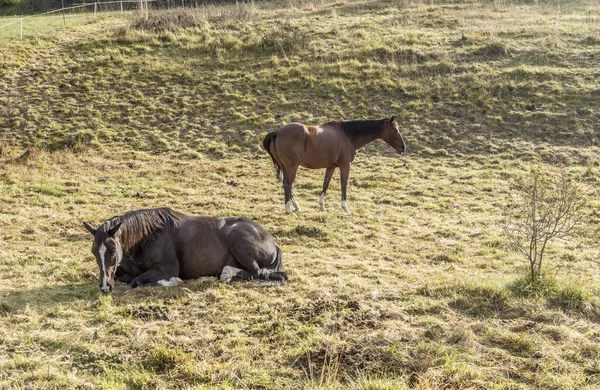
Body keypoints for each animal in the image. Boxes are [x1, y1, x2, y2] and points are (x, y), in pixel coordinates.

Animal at [84, 207, 288, 292]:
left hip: (238, 240)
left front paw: (171, 282)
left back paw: (226, 273)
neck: (149, 237)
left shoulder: (166, 269)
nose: (105, 287)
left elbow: (136, 281)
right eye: (94, 252)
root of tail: (272, 242)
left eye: (112, 250)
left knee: (257, 273)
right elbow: (124, 275)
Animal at [262, 117, 406, 215]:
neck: (348, 135)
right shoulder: (345, 165)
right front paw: (345, 207)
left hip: (285, 167)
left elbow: (326, 184)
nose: (403, 148)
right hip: (292, 167)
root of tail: (277, 132)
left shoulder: (331, 167)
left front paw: (321, 205)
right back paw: (289, 210)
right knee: (287, 184)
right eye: (395, 130)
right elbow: (344, 184)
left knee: (284, 184)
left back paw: (296, 206)